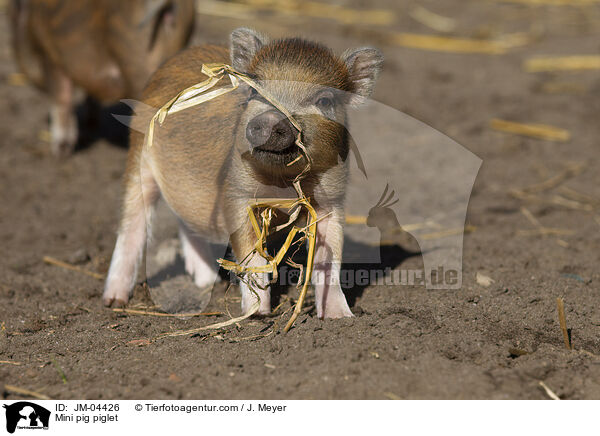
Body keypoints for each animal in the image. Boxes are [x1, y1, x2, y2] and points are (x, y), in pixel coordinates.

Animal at [103, 28, 384, 320]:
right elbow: (252, 255)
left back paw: (206, 281)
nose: (270, 120)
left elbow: (330, 259)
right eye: (254, 90)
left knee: (185, 220)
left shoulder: (331, 201)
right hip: (138, 158)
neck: (283, 181)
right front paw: (257, 314)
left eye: (325, 100)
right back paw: (113, 301)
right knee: (132, 225)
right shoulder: (236, 196)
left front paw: (340, 317)